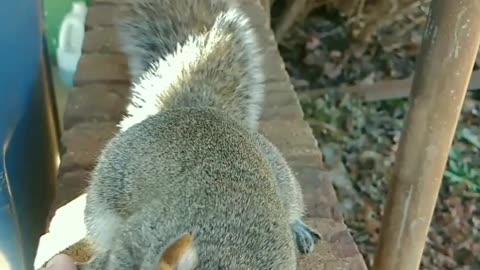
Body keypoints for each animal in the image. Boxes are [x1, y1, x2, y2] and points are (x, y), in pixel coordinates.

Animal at [79, 0, 320, 268]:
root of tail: (200, 109)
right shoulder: (142, 230)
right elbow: (122, 250)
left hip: (282, 176)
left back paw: (298, 228)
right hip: (108, 194)